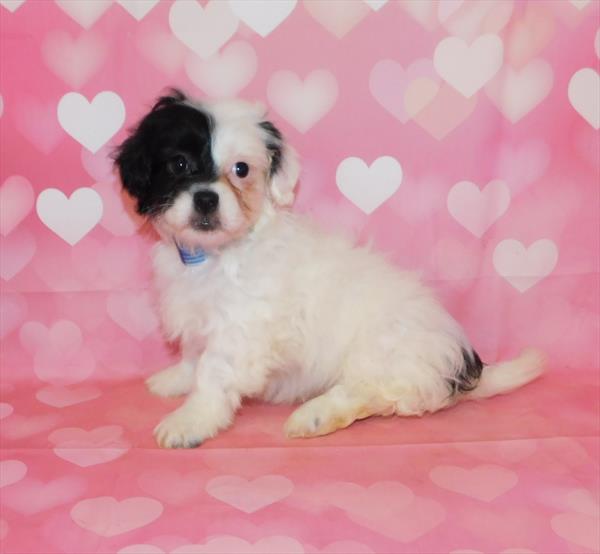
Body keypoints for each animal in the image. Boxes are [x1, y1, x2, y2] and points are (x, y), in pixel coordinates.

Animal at [115, 88, 548, 446]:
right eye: (179, 164)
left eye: (241, 169)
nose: (206, 199)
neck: (215, 254)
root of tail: (463, 359)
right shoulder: (196, 313)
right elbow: (193, 355)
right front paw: (176, 380)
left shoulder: (242, 329)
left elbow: (214, 371)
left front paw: (191, 420)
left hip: (384, 346)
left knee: (371, 391)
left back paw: (316, 415)